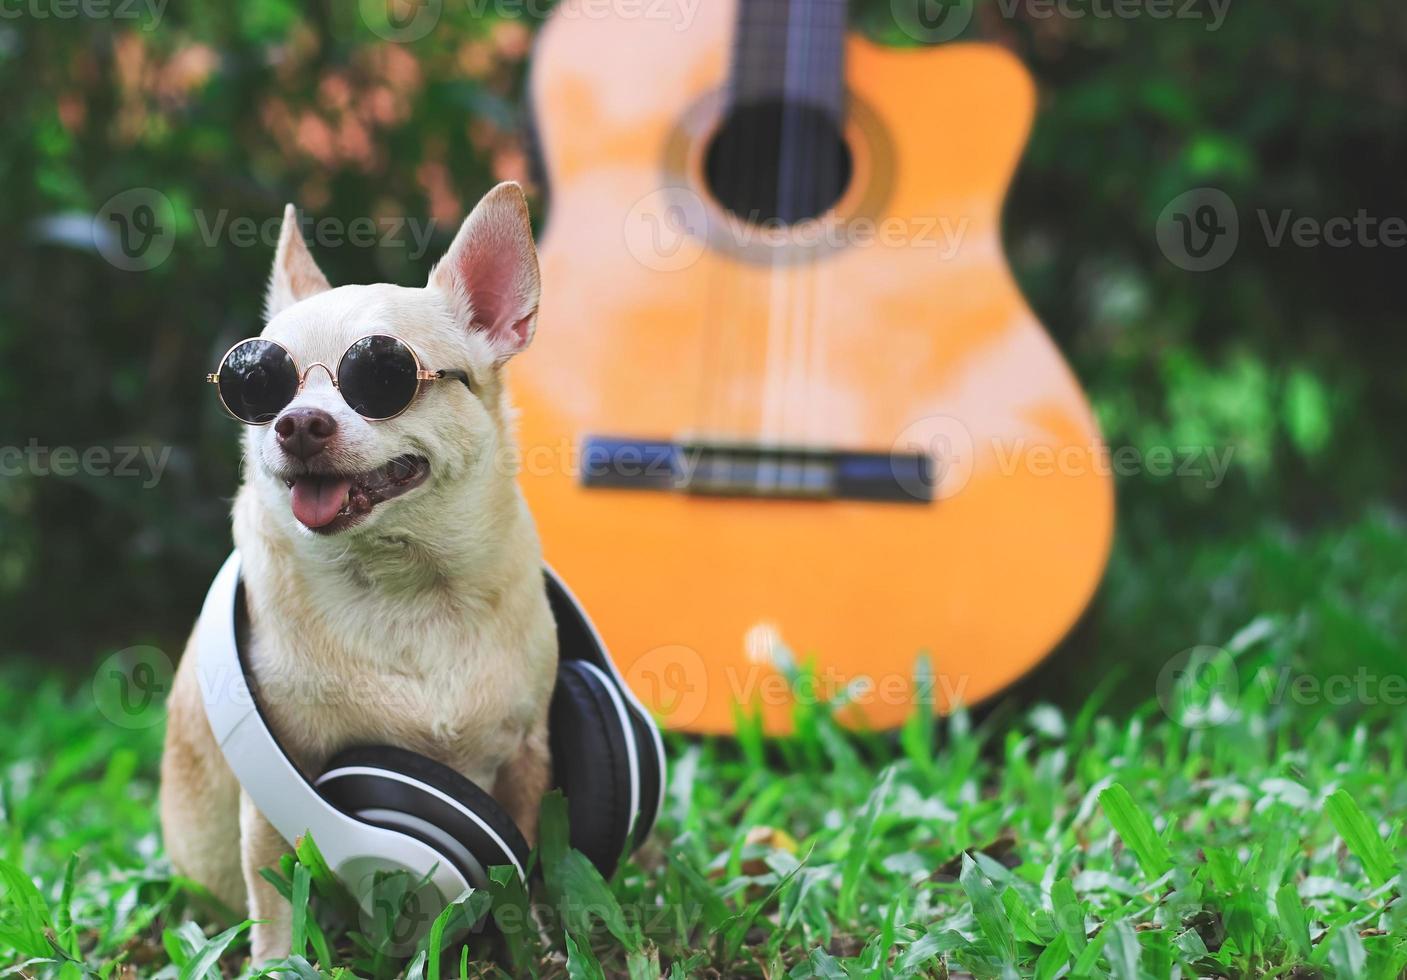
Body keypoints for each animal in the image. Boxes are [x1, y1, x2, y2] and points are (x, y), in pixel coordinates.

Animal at [161, 182, 557, 961]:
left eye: (382, 377)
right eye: (261, 386)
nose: (297, 423)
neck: (407, 586)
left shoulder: (527, 758)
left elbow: (521, 866)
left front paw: (529, 948)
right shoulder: (278, 787)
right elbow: (275, 898)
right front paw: (278, 966)